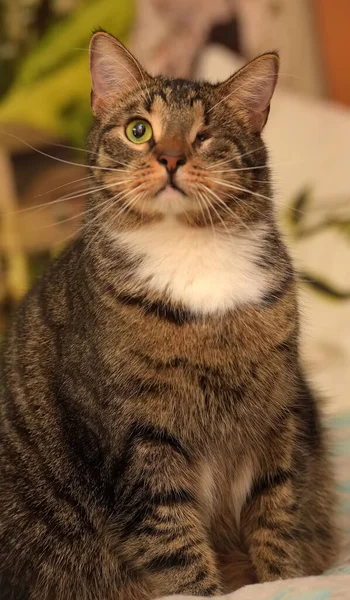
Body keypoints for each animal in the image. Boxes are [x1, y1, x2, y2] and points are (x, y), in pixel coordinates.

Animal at [0, 31, 340, 600]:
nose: (172, 158)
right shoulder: (138, 444)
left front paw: (285, 580)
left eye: (204, 135)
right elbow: (176, 548)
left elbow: (278, 523)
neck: (192, 256)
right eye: (139, 130)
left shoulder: (277, 423)